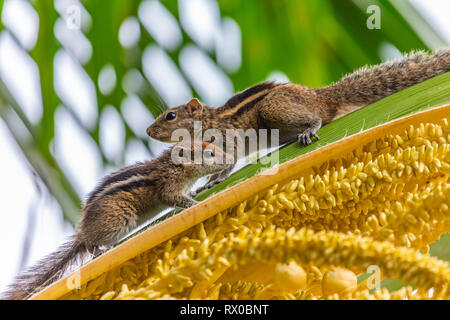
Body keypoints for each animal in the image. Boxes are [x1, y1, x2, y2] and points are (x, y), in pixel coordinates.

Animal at [0, 141, 232, 298]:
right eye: (210, 153)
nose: (230, 159)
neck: (173, 165)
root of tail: (81, 233)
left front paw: (196, 192)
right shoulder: (167, 185)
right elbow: (173, 199)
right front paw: (197, 203)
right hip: (120, 219)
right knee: (90, 245)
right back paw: (102, 250)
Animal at [148, 48, 450, 191]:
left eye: (170, 115)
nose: (149, 131)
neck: (209, 121)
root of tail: (321, 96)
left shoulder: (226, 138)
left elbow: (230, 161)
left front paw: (213, 181)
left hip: (273, 108)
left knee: (317, 118)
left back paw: (308, 129)